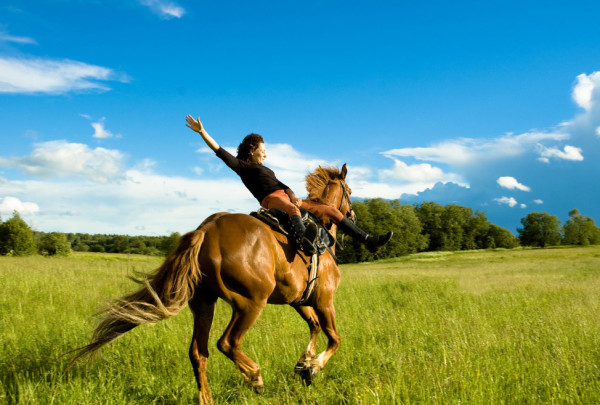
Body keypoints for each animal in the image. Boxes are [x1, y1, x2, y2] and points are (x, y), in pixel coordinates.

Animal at [74, 163, 356, 400]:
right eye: (350, 191)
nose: (352, 214)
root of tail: (206, 230)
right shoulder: (324, 299)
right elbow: (334, 338)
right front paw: (313, 367)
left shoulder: (300, 301)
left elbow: (314, 327)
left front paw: (304, 364)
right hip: (250, 304)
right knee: (227, 343)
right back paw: (255, 377)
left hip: (203, 304)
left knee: (198, 353)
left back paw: (207, 398)